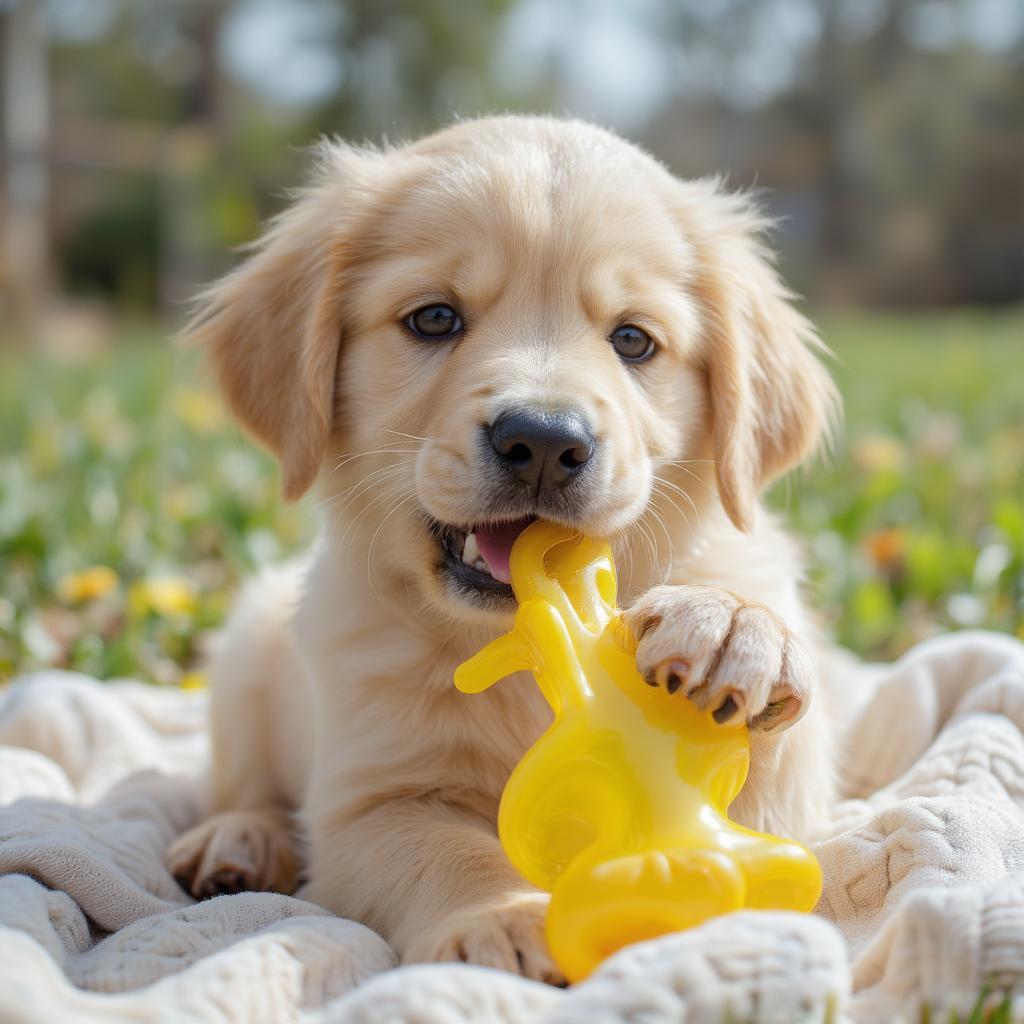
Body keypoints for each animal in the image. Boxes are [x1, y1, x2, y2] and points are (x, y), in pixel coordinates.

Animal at [167, 117, 839, 983]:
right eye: (434, 320)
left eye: (633, 339)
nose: (545, 441)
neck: (518, 639)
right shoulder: (368, 803)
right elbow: (451, 851)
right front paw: (503, 920)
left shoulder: (793, 802)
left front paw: (730, 626)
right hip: (246, 654)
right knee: (238, 784)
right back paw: (240, 839)